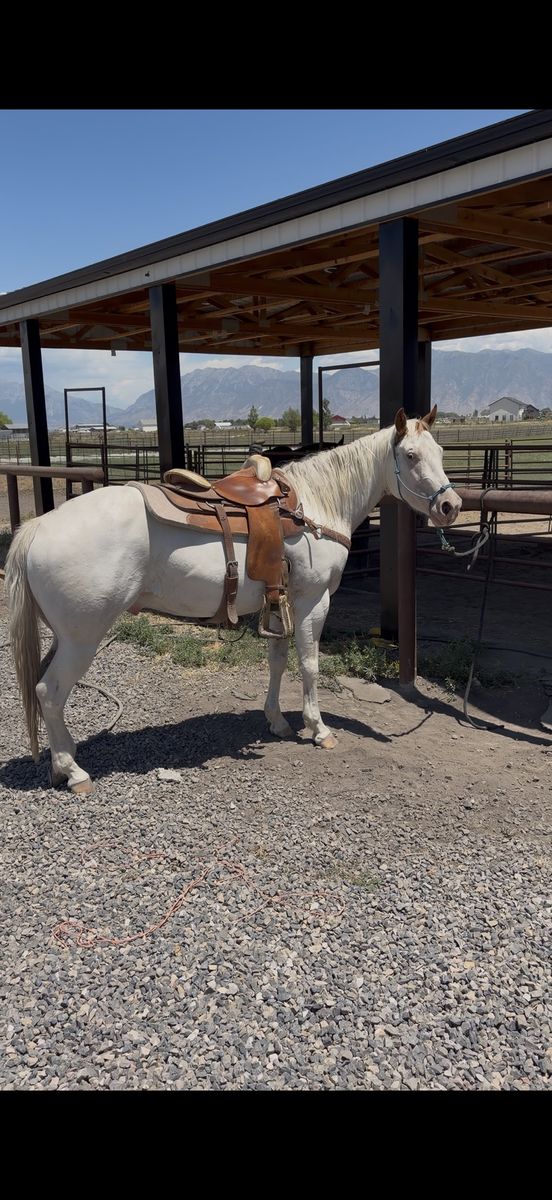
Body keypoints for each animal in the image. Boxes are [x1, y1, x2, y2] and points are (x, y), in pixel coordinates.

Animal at [5, 406, 461, 795]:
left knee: (43, 689)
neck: (315, 507)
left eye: (440, 452)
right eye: (411, 455)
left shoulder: (281, 602)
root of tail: (37, 527)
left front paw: (277, 722)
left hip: (64, 637)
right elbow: (309, 665)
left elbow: (278, 662)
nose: (450, 505)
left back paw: (62, 761)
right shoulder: (313, 602)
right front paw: (319, 729)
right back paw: (74, 771)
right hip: (83, 638)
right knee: (49, 691)